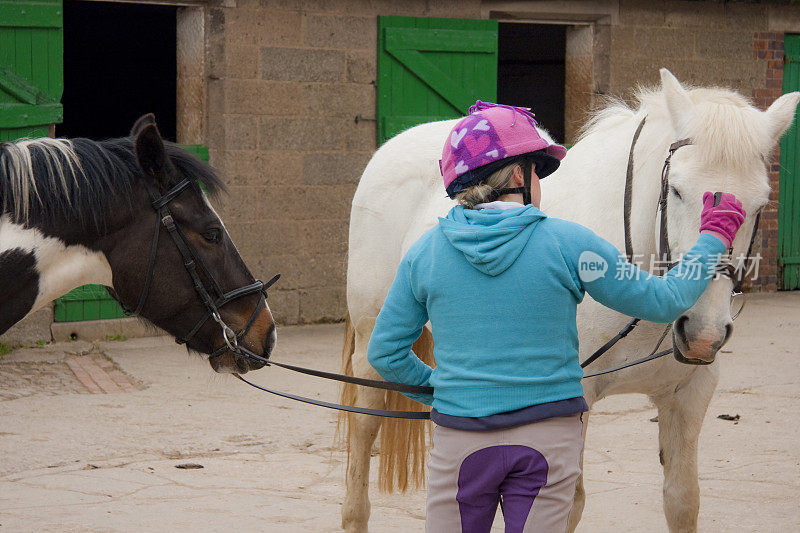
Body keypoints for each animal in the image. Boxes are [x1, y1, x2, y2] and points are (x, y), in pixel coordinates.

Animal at [340, 70, 800, 532]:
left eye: (760, 203)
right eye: (678, 191)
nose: (702, 334)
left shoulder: (689, 395)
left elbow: (683, 500)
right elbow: (568, 504)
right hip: (371, 342)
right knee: (363, 427)